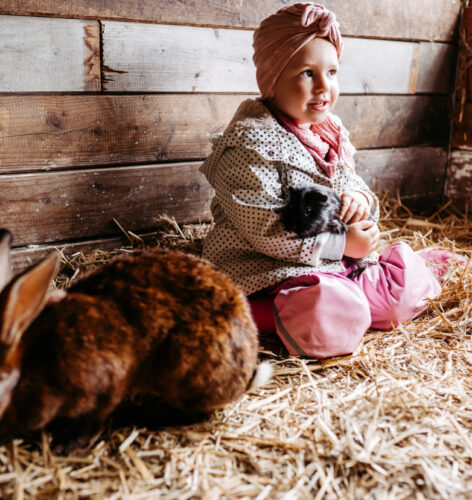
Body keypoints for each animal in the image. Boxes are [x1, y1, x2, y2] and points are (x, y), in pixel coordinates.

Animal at [0, 230, 272, 454]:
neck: (26, 369)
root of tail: (246, 375)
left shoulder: (105, 385)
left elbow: (92, 421)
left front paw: (66, 446)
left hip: (185, 366)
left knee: (196, 414)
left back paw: (139, 413)